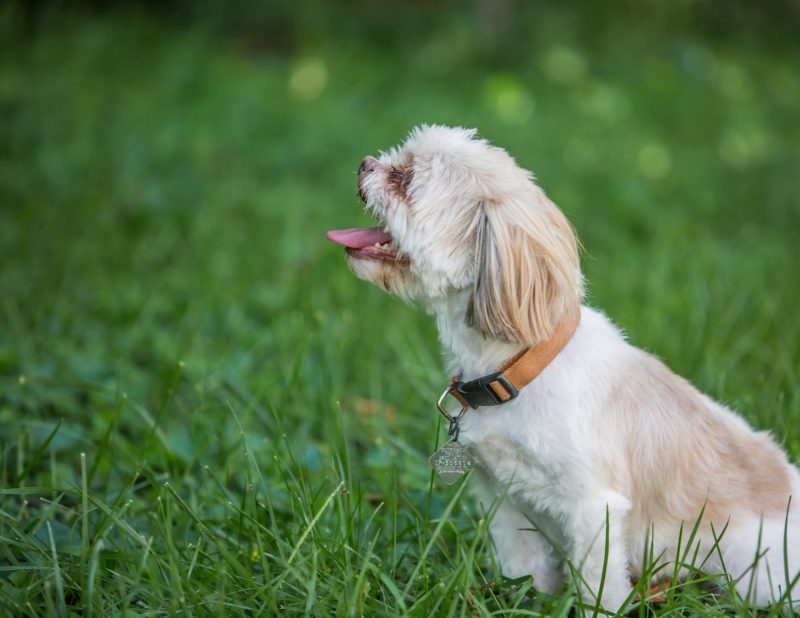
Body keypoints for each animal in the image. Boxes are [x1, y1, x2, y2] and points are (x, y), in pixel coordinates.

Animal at [326, 126, 800, 612]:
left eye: (406, 179)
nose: (365, 163)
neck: (518, 369)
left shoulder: (594, 509)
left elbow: (599, 586)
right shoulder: (505, 499)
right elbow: (524, 567)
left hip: (757, 573)